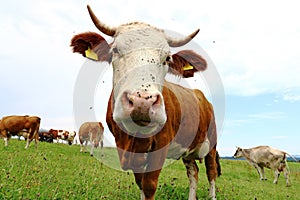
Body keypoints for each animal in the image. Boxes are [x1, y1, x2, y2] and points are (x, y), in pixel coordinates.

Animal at [70, 5, 220, 200]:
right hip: (188, 148)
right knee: (193, 171)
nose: (142, 103)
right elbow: (140, 183)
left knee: (211, 172)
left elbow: (148, 186)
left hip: (212, 144)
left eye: (167, 58)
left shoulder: (161, 146)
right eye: (115, 50)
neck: (132, 137)